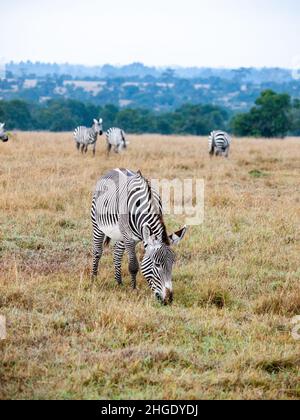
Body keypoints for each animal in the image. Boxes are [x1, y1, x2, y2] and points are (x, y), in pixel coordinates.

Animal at [90, 167, 186, 306]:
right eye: (157, 264)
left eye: (172, 263)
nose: (168, 300)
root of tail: (115, 169)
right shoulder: (129, 239)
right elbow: (134, 266)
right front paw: (134, 289)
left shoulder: (131, 237)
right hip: (97, 225)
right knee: (97, 251)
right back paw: (93, 279)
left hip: (121, 234)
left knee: (117, 253)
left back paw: (119, 283)